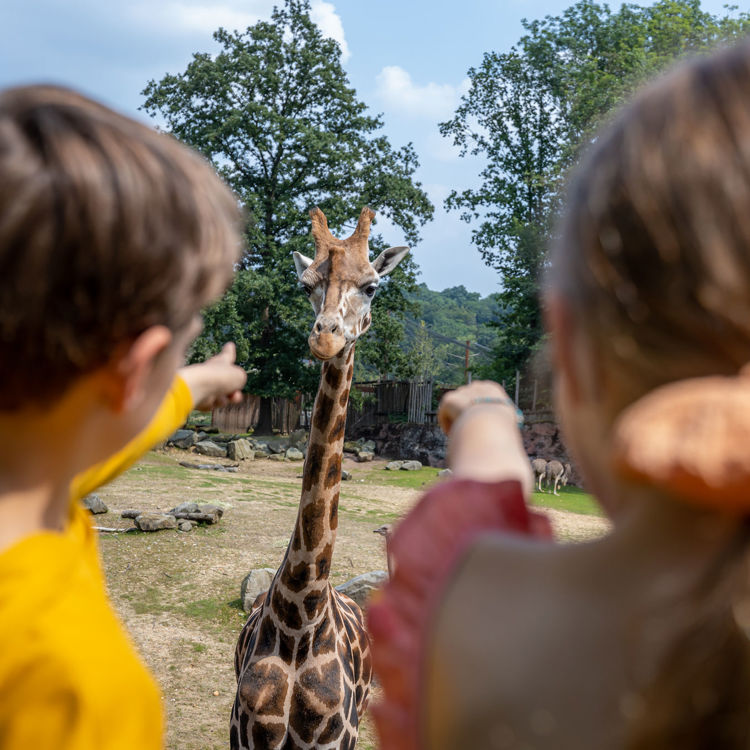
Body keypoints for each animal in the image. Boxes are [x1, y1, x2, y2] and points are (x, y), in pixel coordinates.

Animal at [232, 207, 412, 750]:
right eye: (305, 283)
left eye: (372, 286)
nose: (326, 336)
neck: (301, 615)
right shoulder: (247, 734)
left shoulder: (333, 738)